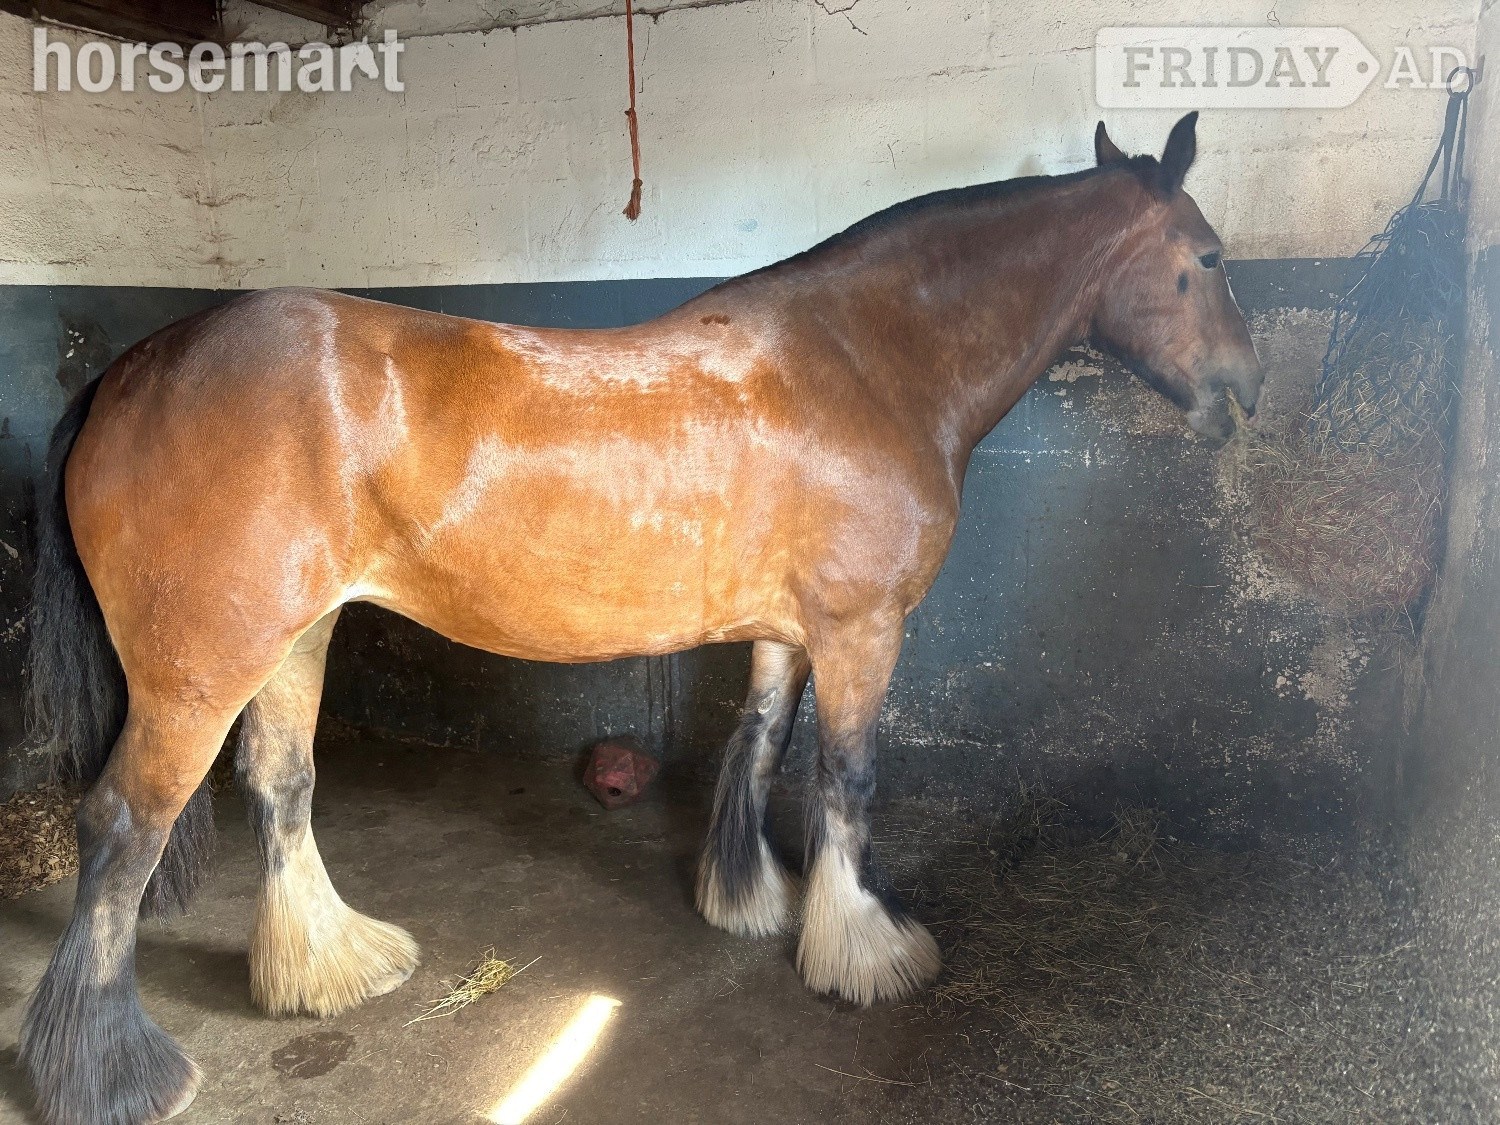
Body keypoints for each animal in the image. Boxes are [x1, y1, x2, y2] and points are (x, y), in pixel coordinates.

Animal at [18, 112, 1260, 1124]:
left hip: (294, 640)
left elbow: (758, 746)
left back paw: (331, 967)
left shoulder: (787, 633)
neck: (865, 362)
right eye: (1208, 257)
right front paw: (866, 953)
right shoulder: (862, 630)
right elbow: (849, 779)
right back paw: (114, 1076)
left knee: (281, 786)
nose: (1243, 399)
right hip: (198, 670)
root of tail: (135, 367)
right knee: (123, 829)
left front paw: (748, 902)